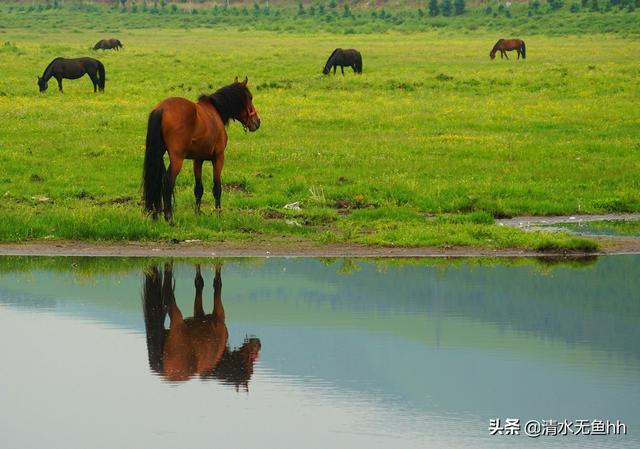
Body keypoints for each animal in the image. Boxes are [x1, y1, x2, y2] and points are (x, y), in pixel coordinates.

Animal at [144, 79, 262, 222]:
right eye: (250, 97)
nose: (257, 122)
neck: (215, 111)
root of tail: (161, 109)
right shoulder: (218, 158)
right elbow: (217, 188)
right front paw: (218, 214)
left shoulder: (198, 160)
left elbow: (198, 189)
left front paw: (197, 213)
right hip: (177, 158)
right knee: (167, 181)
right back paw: (169, 218)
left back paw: (155, 216)